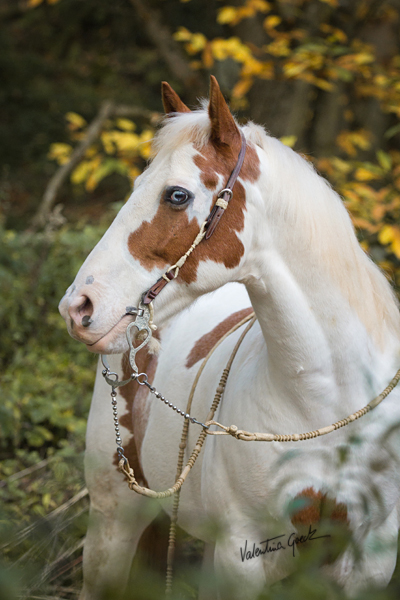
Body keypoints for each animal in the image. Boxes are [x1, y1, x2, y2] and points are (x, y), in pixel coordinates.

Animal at [57, 76, 400, 600]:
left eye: (177, 195)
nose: (78, 307)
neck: (329, 405)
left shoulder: (368, 564)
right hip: (112, 519)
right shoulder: (241, 557)